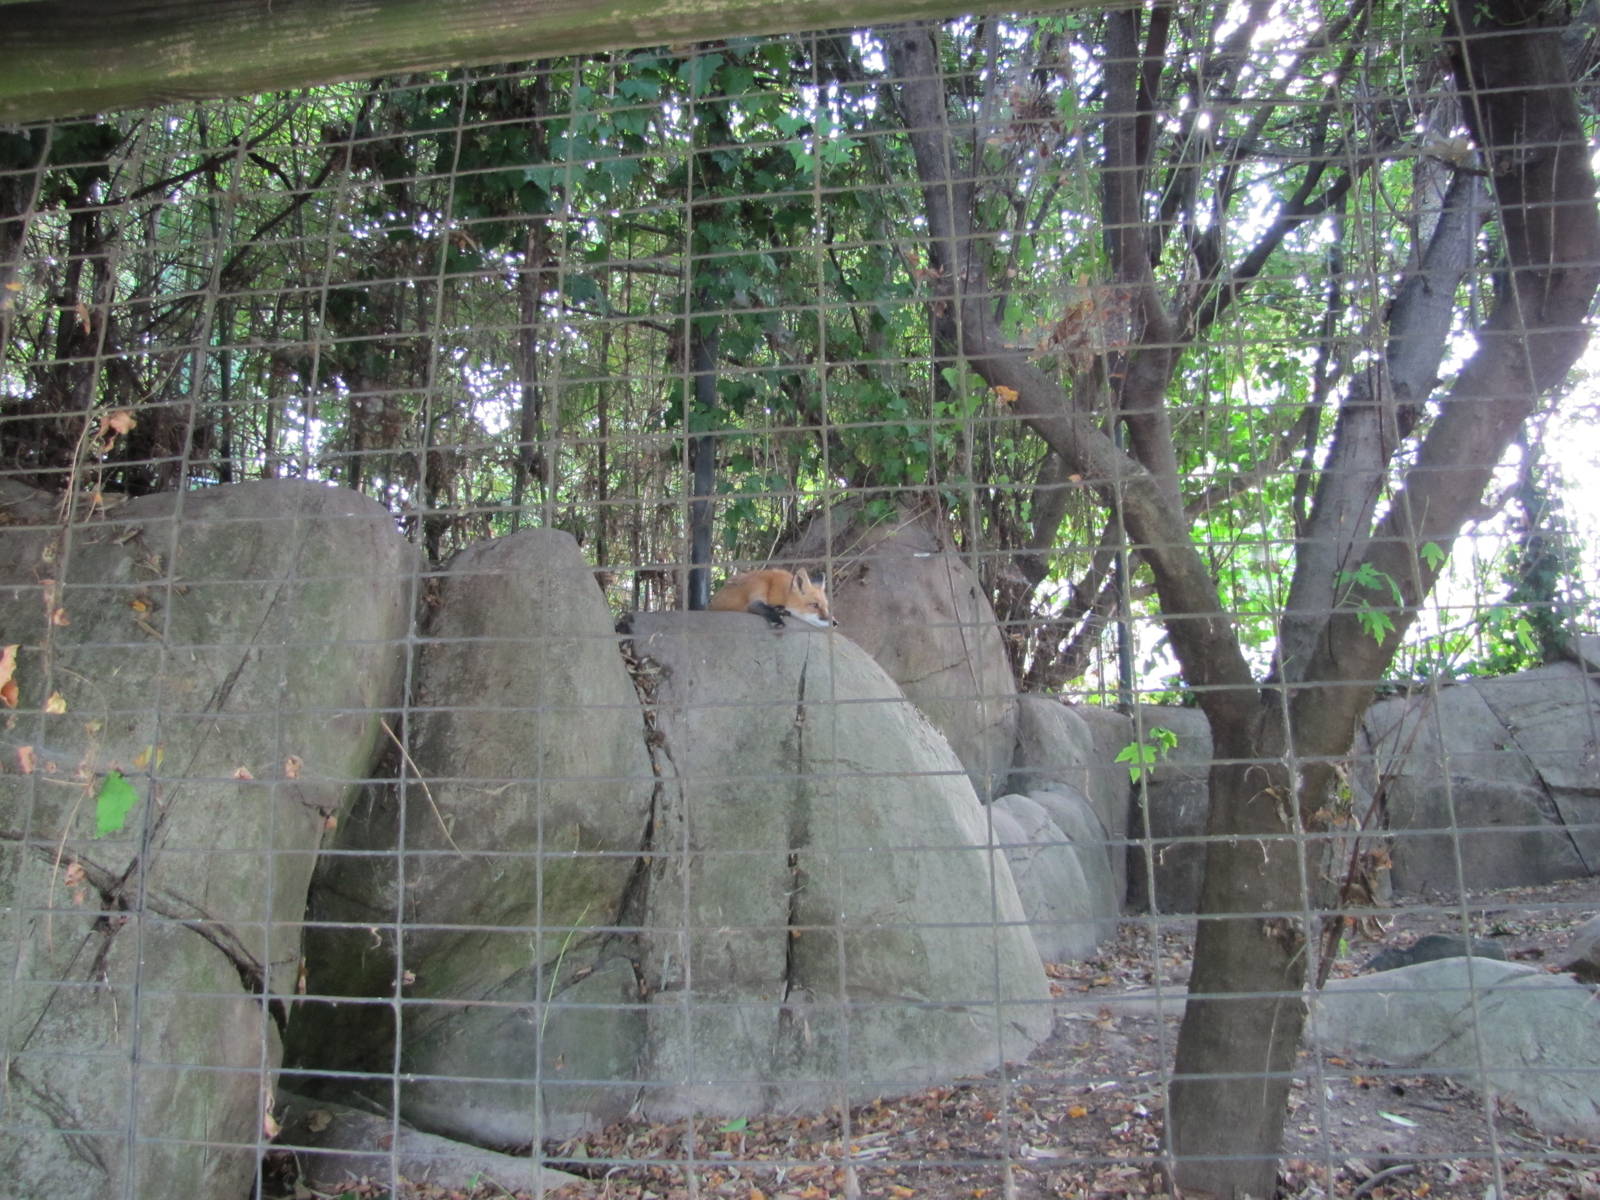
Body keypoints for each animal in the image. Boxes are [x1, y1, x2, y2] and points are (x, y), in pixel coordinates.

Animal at [708, 568, 836, 629]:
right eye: (814, 605)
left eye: (826, 607)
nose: (836, 623)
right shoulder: (757, 587)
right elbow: (760, 606)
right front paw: (777, 619)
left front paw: (780, 610)